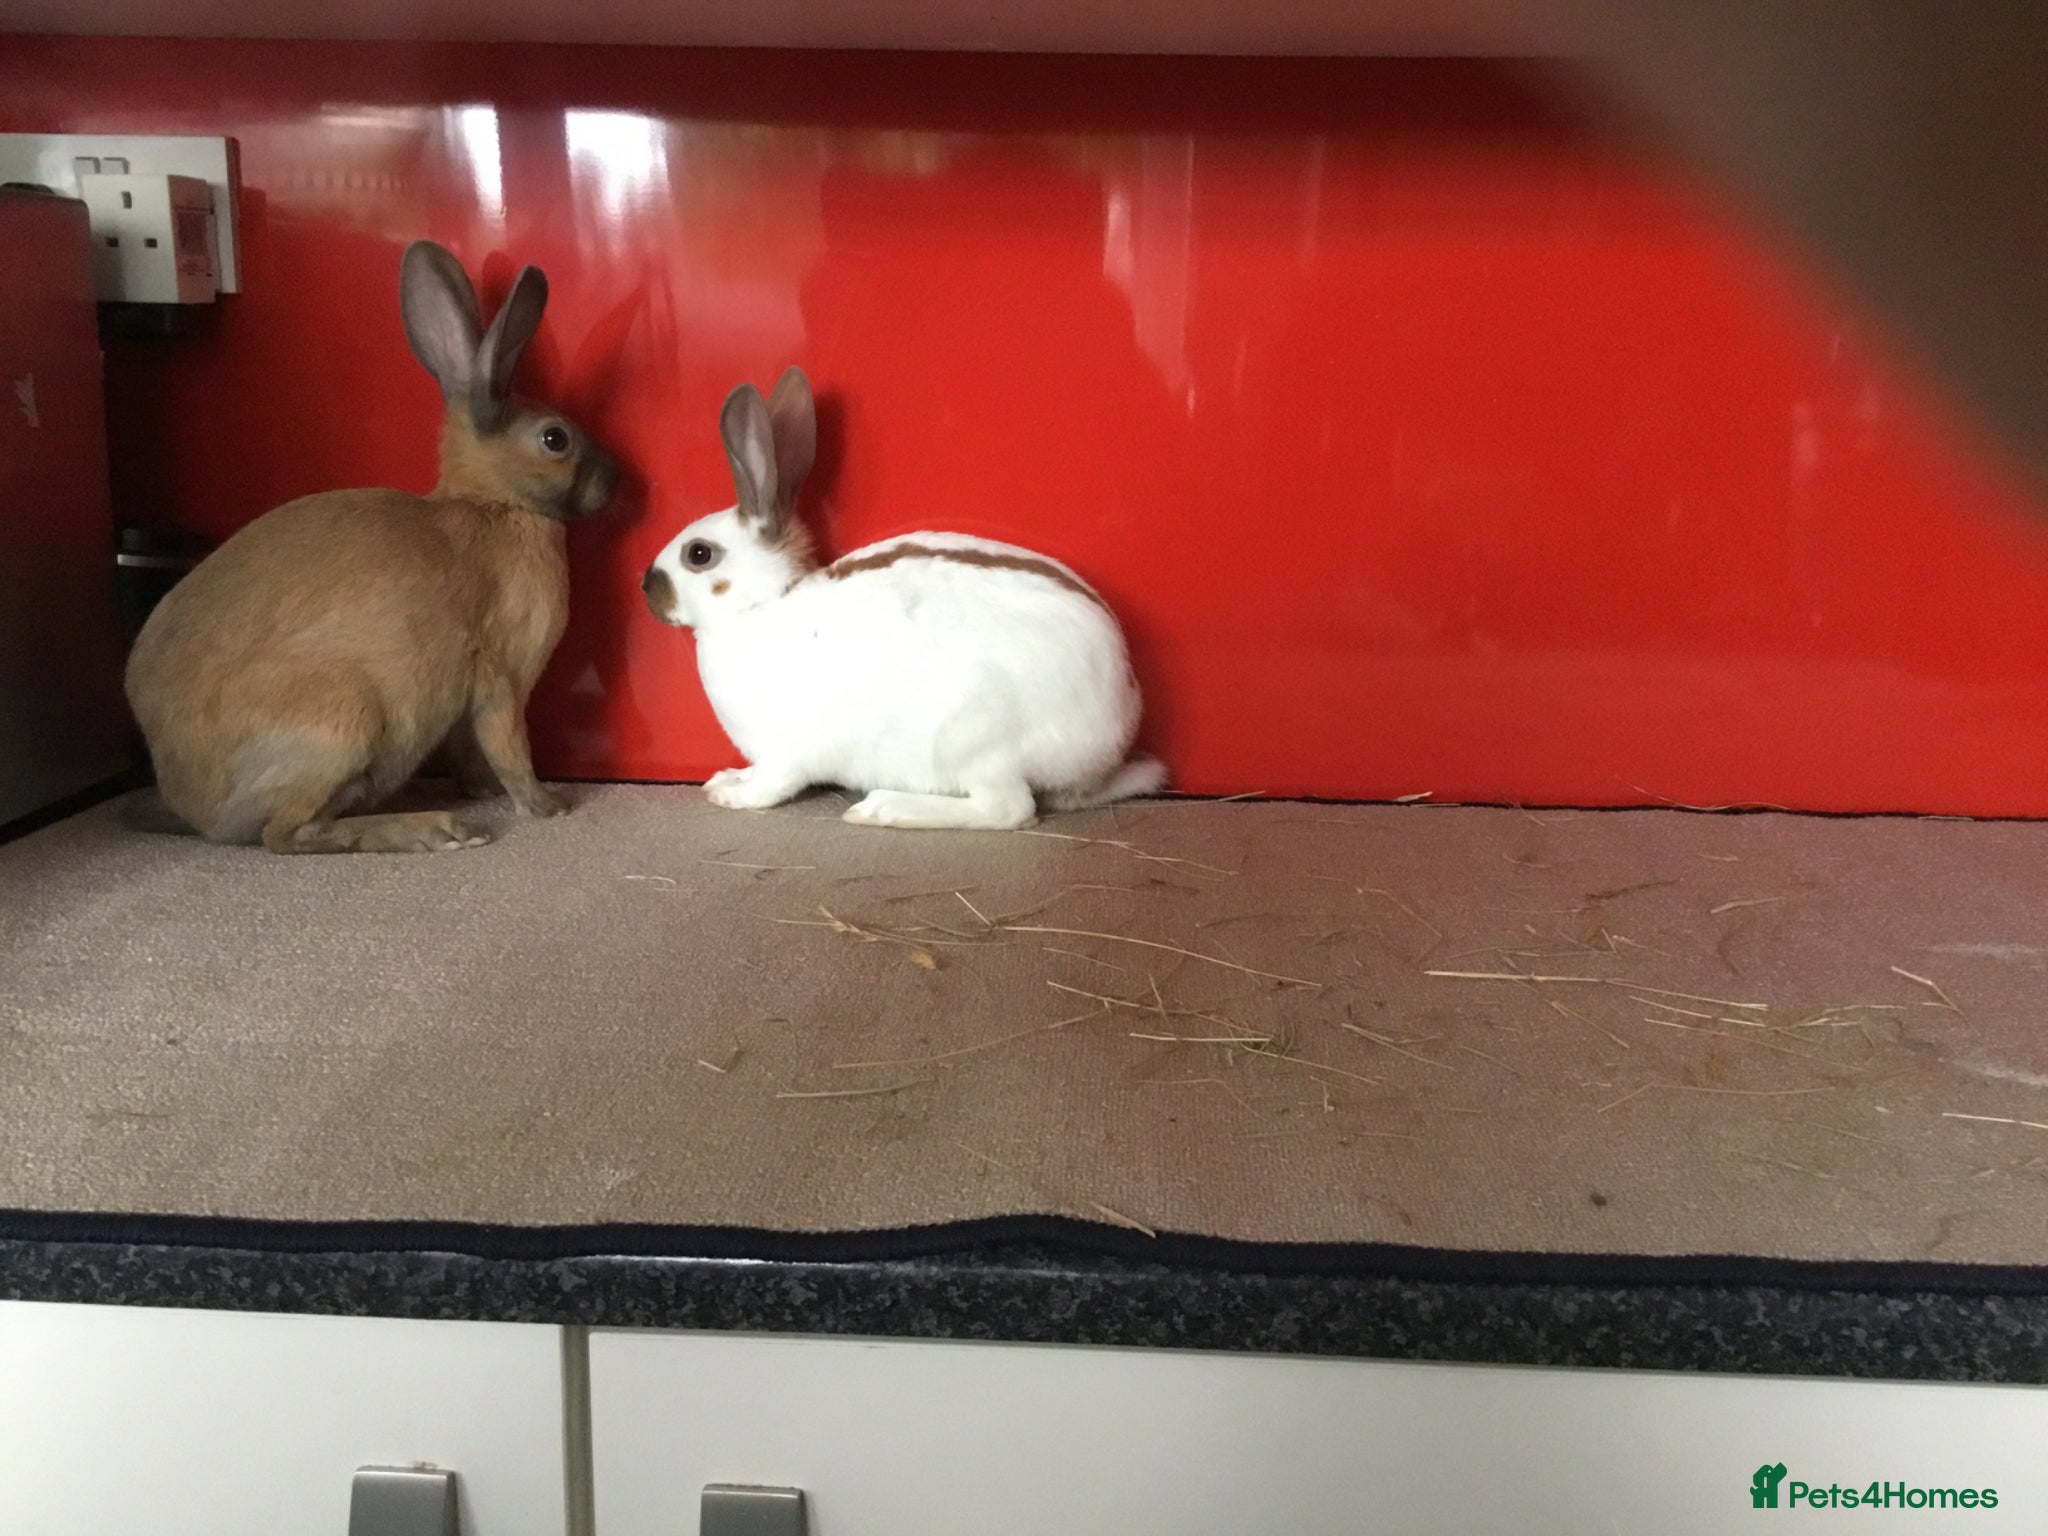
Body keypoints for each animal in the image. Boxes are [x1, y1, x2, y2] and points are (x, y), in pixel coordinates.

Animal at [124, 240, 619, 854]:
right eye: (555, 438)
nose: (617, 477)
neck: (495, 505)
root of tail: (194, 808)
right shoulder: (500, 680)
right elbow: (508, 746)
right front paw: (547, 806)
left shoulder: (463, 710)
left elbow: (468, 754)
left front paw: (481, 791)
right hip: (345, 718)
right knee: (287, 834)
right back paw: (435, 829)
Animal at [641, 366, 1164, 829]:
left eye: (699, 554)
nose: (647, 588)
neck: (760, 605)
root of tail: (1113, 736)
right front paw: (726, 777)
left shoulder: (786, 755)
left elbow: (769, 787)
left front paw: (730, 795)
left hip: (975, 743)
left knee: (1008, 809)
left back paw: (884, 808)